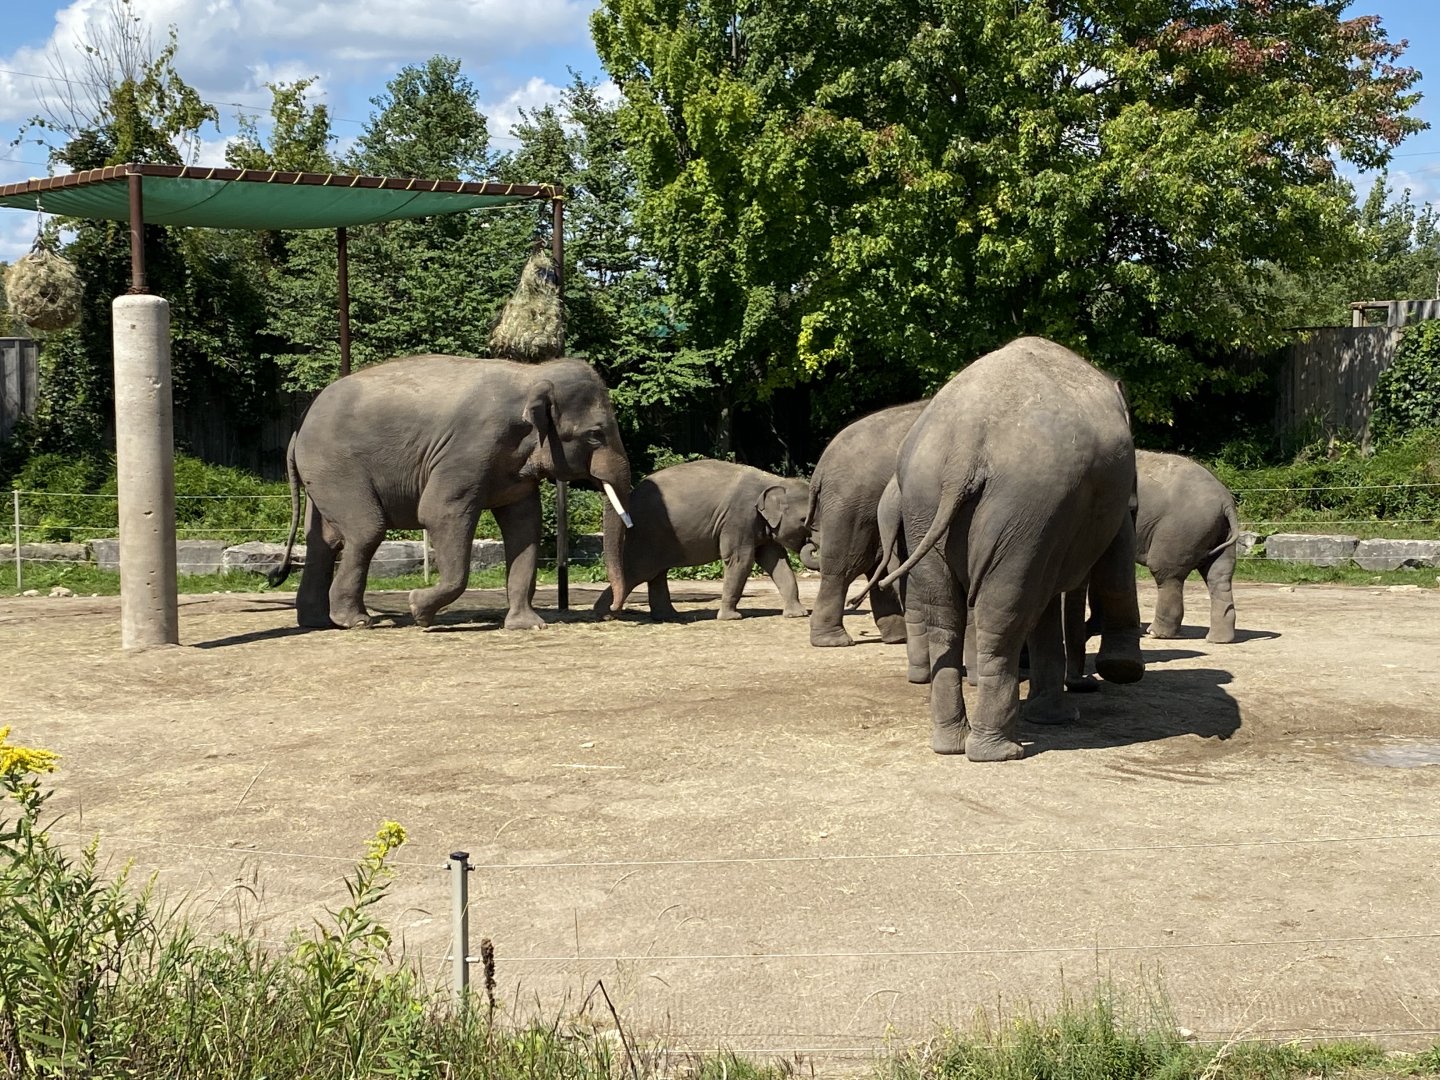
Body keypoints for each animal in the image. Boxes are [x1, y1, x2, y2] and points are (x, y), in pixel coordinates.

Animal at [268, 354, 633, 630]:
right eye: (595, 435)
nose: (611, 611)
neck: (531, 375)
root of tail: (300, 424)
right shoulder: (469, 447)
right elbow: (440, 511)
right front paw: (418, 610)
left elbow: (525, 526)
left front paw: (528, 626)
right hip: (335, 467)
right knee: (365, 530)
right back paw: (356, 621)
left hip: (321, 477)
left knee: (323, 541)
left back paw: (317, 622)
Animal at [592, 458, 811, 621]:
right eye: (804, 520)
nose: (812, 544)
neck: (774, 481)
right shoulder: (738, 517)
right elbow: (741, 559)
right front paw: (731, 618)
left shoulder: (760, 525)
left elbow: (776, 559)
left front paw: (797, 615)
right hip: (646, 534)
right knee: (639, 572)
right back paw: (605, 614)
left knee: (656, 572)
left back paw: (667, 617)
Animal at [804, 401, 929, 648]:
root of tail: (821, 468)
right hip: (851, 507)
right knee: (845, 566)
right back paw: (834, 641)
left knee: (877, 567)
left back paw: (898, 637)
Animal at [881, 336, 1144, 762]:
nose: (1085, 682)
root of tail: (965, 445)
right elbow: (1118, 550)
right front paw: (1122, 670)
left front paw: (1054, 716)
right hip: (1025, 503)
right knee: (1003, 612)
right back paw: (999, 751)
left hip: (927, 501)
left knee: (945, 612)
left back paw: (952, 744)